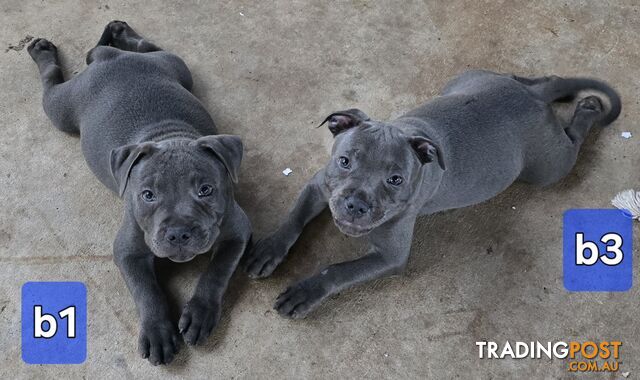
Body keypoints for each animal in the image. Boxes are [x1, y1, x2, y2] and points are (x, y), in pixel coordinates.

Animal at [28, 21, 251, 366]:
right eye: (147, 195)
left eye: (206, 190)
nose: (178, 233)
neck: (170, 136)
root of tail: (110, 58)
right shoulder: (128, 249)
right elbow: (146, 290)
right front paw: (158, 332)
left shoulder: (237, 231)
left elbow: (217, 272)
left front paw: (199, 314)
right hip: (62, 108)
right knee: (51, 80)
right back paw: (43, 52)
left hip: (174, 67)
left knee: (150, 47)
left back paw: (122, 33)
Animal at [245, 70, 620, 320]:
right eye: (345, 160)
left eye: (395, 179)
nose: (356, 205)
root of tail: (536, 100)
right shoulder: (319, 184)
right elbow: (293, 218)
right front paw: (268, 249)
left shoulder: (390, 256)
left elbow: (335, 270)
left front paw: (305, 292)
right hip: (465, 80)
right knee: (542, 78)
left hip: (551, 166)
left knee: (574, 138)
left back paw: (588, 110)